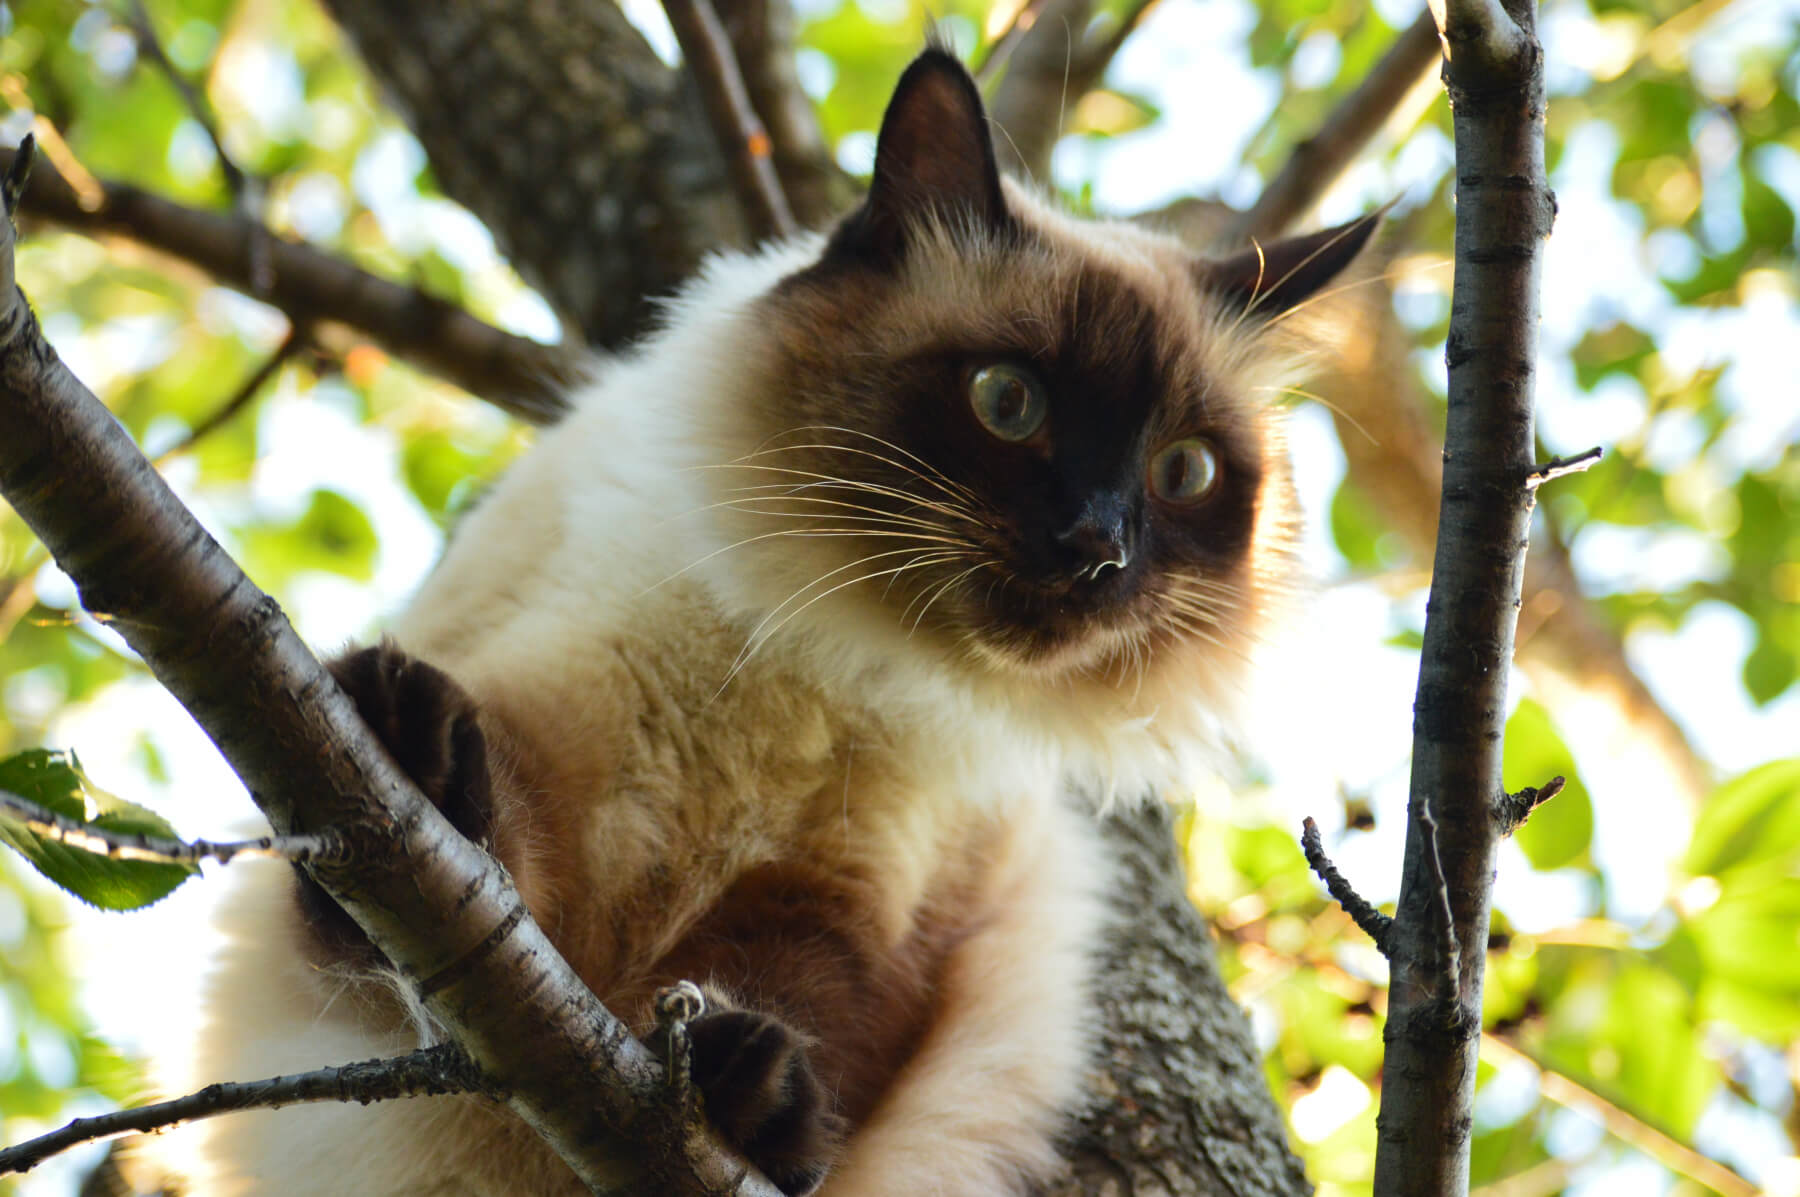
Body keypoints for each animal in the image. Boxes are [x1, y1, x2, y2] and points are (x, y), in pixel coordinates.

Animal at [158, 46, 1375, 1195]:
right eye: (1007, 401)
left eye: (1183, 471)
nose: (1097, 549)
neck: (836, 655)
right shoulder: (554, 744)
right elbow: (486, 874)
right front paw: (422, 767)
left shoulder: (860, 901)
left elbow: (800, 1008)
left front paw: (743, 1096)